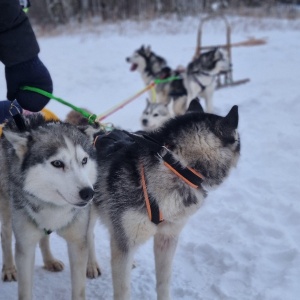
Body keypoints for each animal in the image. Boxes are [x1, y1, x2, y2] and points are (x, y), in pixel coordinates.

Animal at [0, 113, 99, 298]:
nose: (88, 193)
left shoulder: (77, 242)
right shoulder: (25, 246)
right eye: (58, 163)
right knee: (6, 235)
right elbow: (25, 291)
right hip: (7, 210)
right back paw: (8, 268)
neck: (54, 208)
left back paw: (50, 261)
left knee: (46, 237)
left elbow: (79, 289)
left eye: (84, 160)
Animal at [92, 99, 240, 300]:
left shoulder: (167, 239)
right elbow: (123, 290)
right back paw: (91, 265)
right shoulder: (125, 241)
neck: (176, 165)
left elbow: (164, 281)